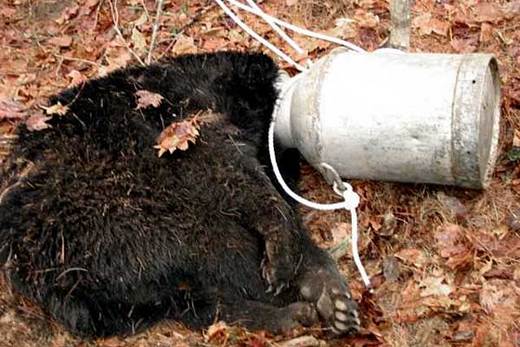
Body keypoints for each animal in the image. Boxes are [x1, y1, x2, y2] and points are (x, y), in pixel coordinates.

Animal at [0, 53, 358, 338]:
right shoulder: (182, 124)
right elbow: (231, 175)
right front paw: (283, 248)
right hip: (108, 215)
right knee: (213, 245)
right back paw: (289, 300)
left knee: (186, 299)